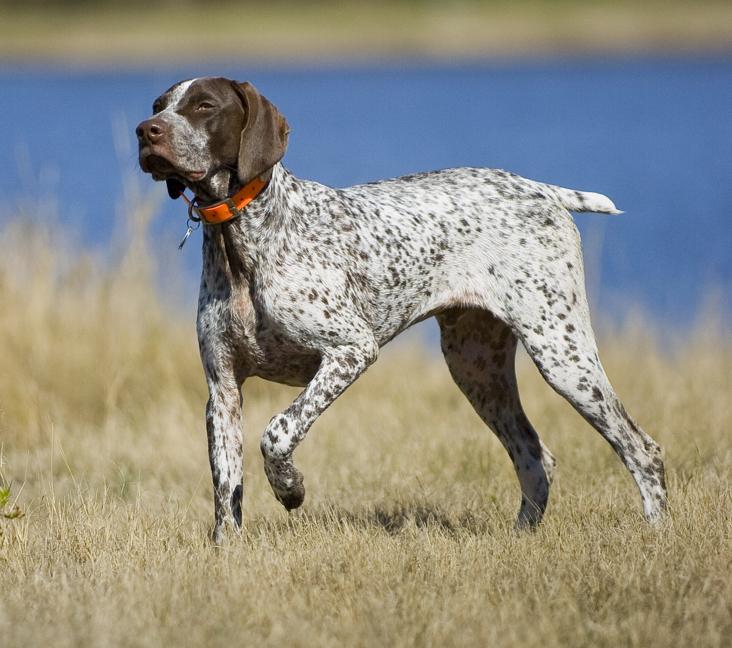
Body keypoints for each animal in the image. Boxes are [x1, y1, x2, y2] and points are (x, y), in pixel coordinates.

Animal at [134, 76, 668, 540]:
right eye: (159, 104)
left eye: (204, 105)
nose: (145, 131)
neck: (241, 239)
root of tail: (541, 189)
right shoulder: (222, 392)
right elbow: (227, 491)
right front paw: (228, 551)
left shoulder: (351, 350)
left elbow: (278, 431)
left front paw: (290, 489)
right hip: (477, 369)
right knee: (536, 457)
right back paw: (521, 537)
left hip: (562, 354)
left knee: (642, 449)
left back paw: (656, 533)